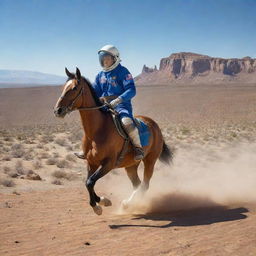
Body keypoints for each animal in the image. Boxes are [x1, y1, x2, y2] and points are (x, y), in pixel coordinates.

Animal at [54, 67, 174, 215]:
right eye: (63, 87)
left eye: (74, 88)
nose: (58, 110)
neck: (97, 131)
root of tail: (154, 125)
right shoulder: (91, 163)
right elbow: (88, 182)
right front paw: (101, 201)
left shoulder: (108, 164)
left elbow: (90, 181)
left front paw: (99, 205)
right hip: (131, 165)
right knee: (137, 184)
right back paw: (127, 204)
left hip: (150, 160)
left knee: (145, 185)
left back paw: (127, 204)